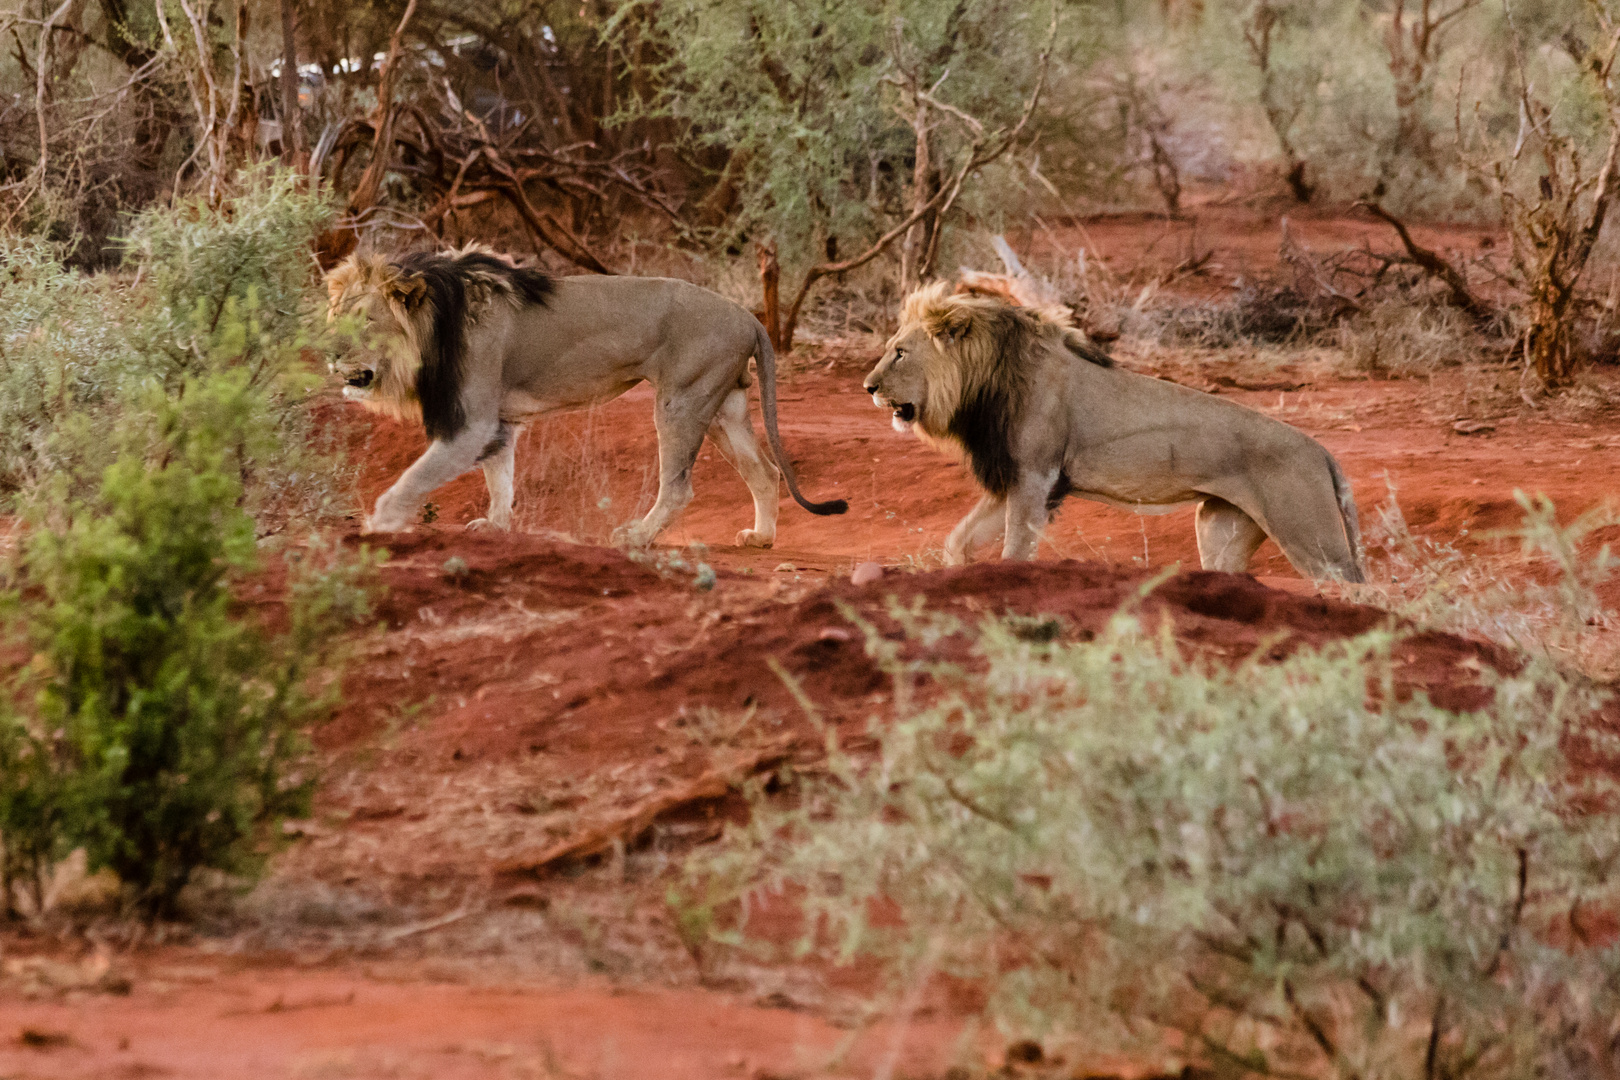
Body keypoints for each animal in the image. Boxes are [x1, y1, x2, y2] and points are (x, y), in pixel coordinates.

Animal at [322, 249, 842, 544]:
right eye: (336, 315)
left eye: (364, 320)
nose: (327, 353)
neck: (436, 322)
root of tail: (748, 315)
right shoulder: (497, 423)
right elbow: (500, 480)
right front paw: (496, 526)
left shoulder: (470, 424)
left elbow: (413, 479)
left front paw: (378, 525)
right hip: (722, 407)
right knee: (765, 471)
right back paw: (761, 537)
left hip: (681, 401)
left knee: (679, 486)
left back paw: (637, 537)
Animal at [868, 281, 1360, 582]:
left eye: (899, 352)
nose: (867, 387)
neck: (987, 378)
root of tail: (1321, 451)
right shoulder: (1013, 479)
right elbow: (959, 539)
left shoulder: (1035, 478)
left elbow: (1014, 550)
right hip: (1221, 528)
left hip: (1313, 541)